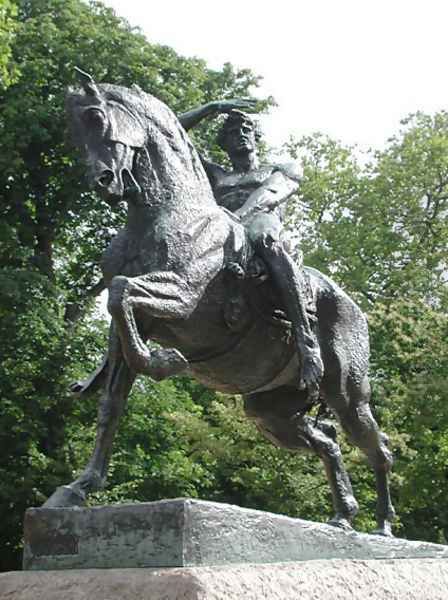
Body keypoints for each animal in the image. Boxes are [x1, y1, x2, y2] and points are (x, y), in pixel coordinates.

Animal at [44, 72, 396, 536]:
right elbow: (111, 402)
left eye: (96, 117)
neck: (165, 215)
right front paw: (78, 488)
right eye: (73, 130)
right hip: (271, 413)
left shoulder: (184, 301)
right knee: (329, 443)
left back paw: (384, 525)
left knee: (378, 447)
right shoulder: (131, 331)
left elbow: (122, 292)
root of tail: (353, 307)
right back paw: (342, 516)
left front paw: (165, 362)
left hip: (348, 396)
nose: (103, 181)